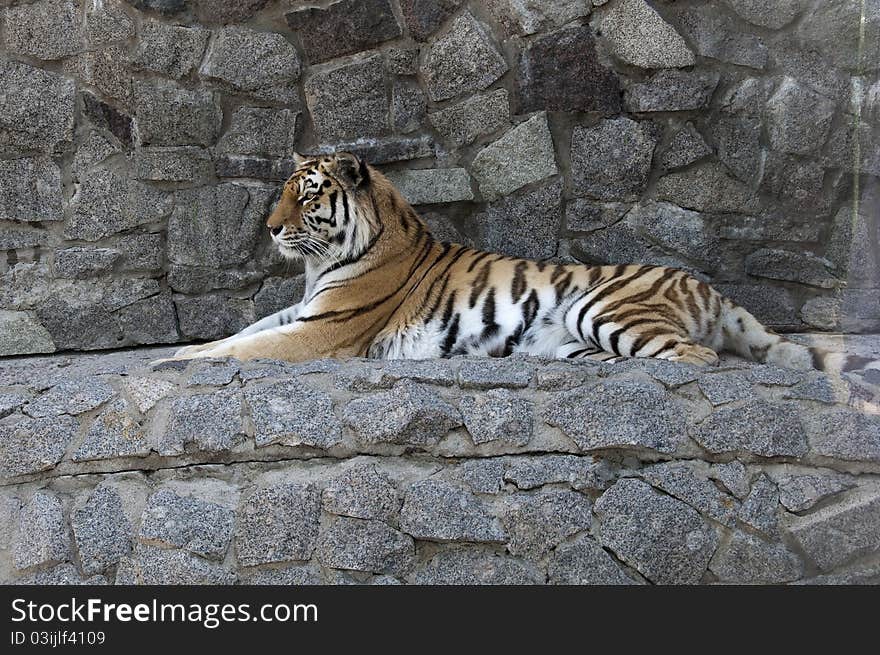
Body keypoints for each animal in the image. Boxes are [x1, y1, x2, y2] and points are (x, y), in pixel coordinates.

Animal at [165, 149, 880, 384]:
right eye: (285, 192)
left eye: (307, 194)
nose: (270, 227)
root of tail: (704, 284)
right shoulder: (301, 310)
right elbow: (242, 333)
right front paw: (185, 350)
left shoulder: (322, 329)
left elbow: (247, 348)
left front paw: (176, 360)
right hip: (577, 332)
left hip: (602, 306)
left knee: (699, 358)